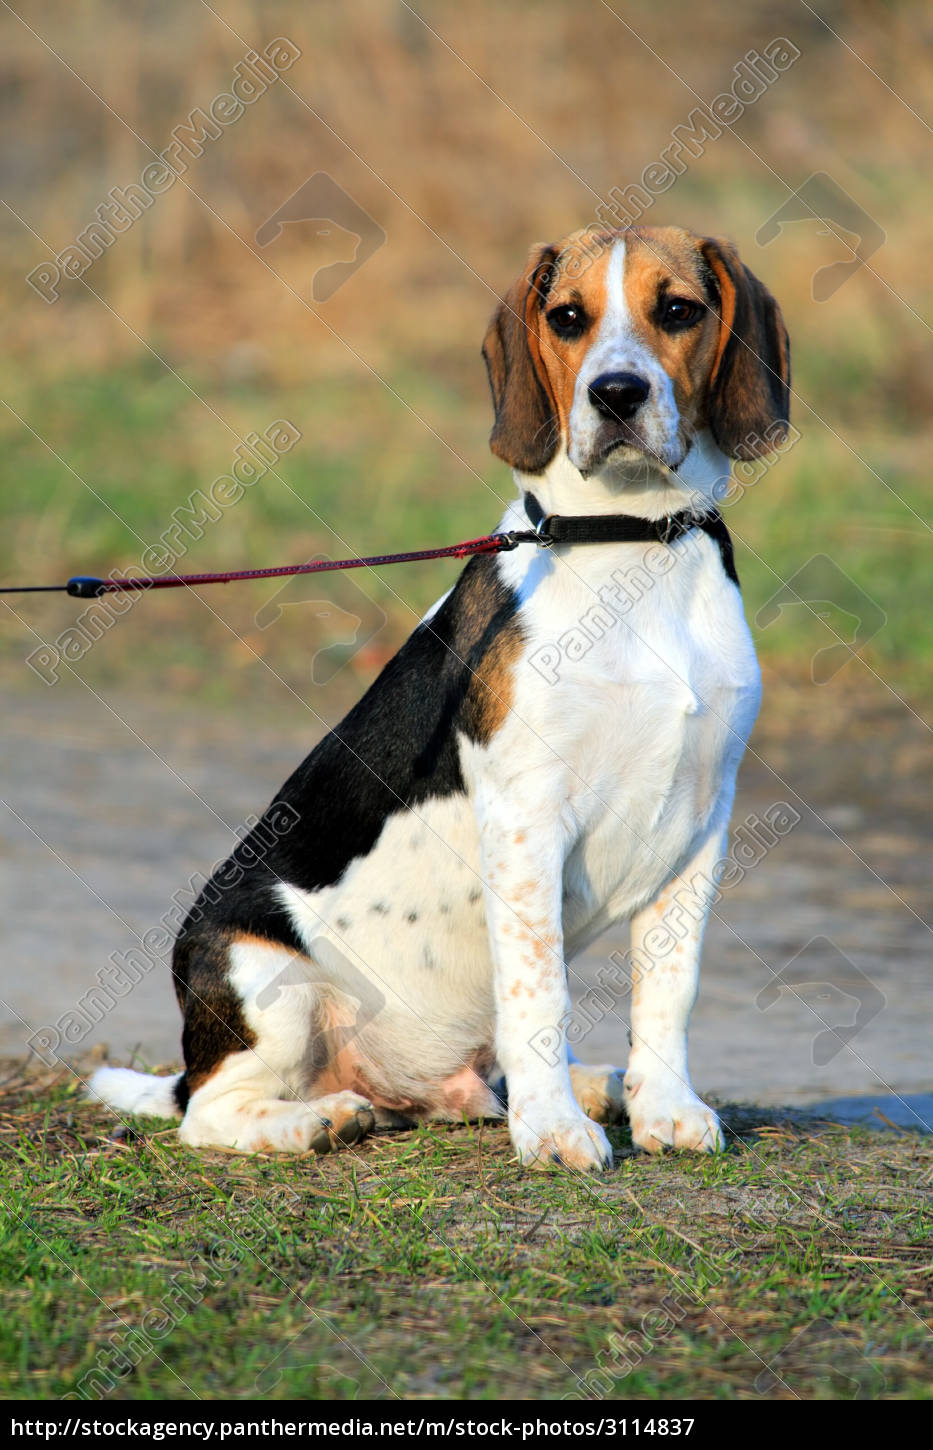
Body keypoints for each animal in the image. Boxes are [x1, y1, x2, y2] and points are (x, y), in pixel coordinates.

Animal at [89, 229, 789, 1177]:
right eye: (567, 317)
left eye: (677, 308)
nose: (615, 393)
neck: (631, 543)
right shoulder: (528, 822)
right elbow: (539, 993)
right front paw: (552, 1131)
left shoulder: (698, 823)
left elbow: (667, 993)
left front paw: (665, 1108)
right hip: (260, 974)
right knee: (210, 1112)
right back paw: (317, 1121)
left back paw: (591, 1083)